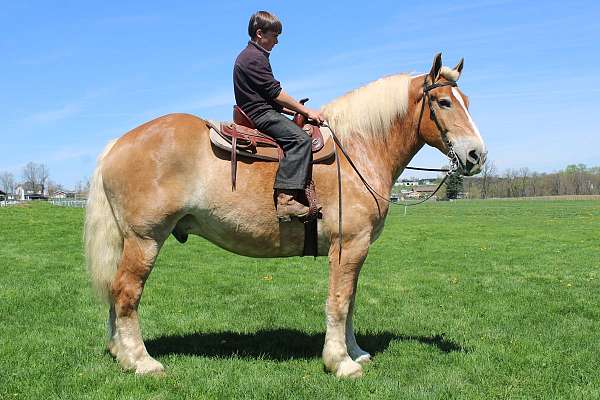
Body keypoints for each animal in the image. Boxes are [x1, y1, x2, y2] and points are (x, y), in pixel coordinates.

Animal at [85, 54, 488, 378]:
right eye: (443, 102)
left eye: (466, 101)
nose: (476, 155)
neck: (356, 150)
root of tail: (118, 144)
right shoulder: (348, 246)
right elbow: (339, 301)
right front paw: (340, 362)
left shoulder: (356, 249)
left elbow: (352, 300)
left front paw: (356, 352)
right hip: (145, 240)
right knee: (126, 293)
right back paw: (141, 361)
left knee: (115, 292)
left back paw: (120, 352)